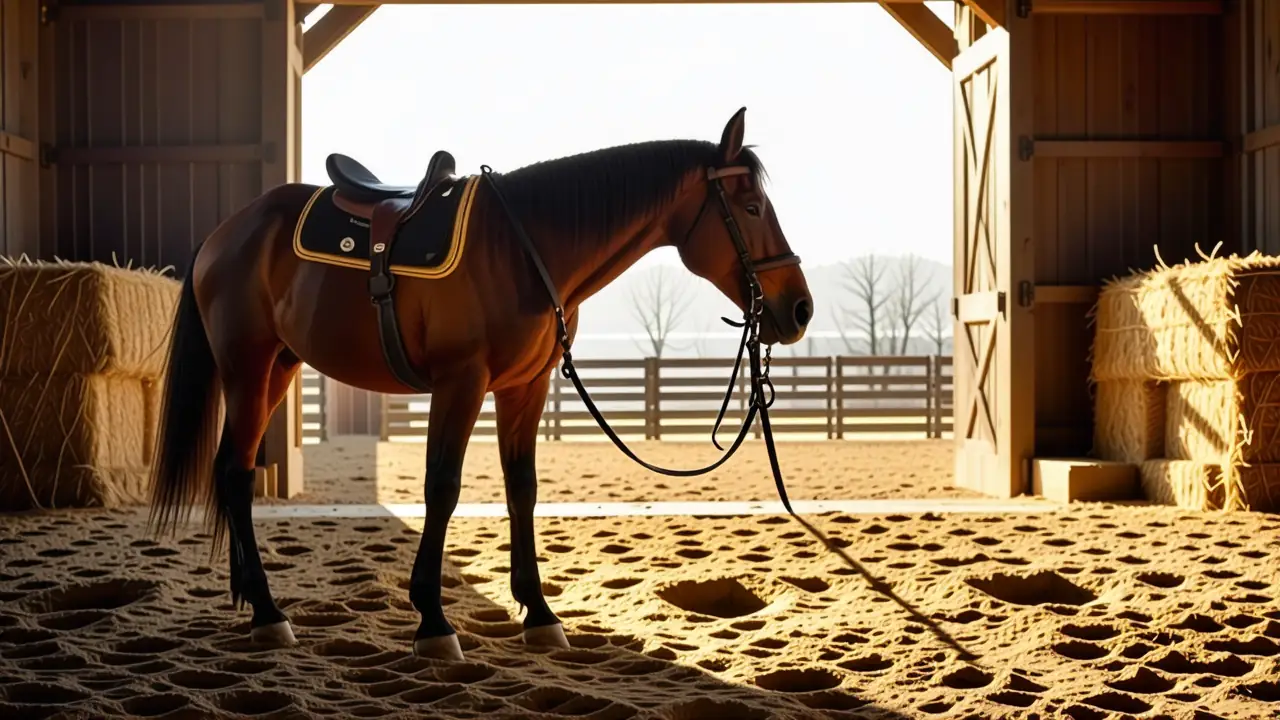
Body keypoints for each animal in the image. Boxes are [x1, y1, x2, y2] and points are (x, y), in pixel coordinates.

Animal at [146, 108, 813, 661]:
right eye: (751, 209)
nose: (800, 309)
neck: (527, 248)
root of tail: (228, 230)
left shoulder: (526, 388)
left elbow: (522, 489)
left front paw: (539, 614)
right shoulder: (461, 382)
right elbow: (442, 487)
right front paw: (434, 621)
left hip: (279, 368)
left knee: (233, 471)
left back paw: (253, 603)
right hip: (247, 366)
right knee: (236, 474)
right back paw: (267, 612)